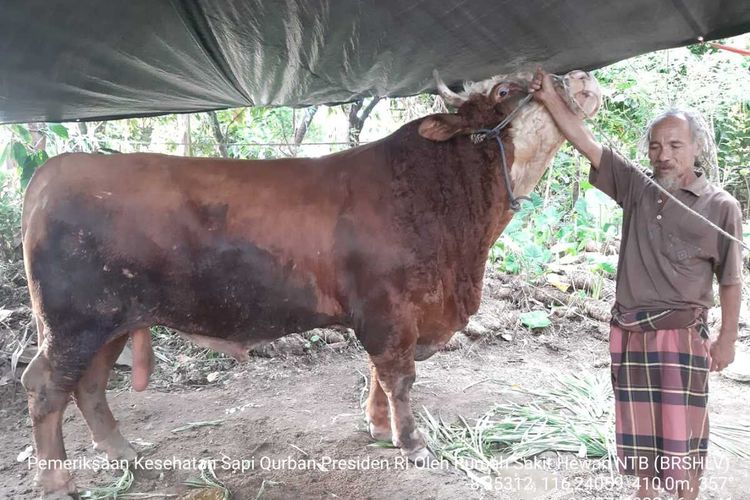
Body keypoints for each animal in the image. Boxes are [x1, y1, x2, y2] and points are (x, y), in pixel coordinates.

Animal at [19, 70, 604, 496]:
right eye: (506, 90)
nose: (576, 76)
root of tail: (49, 173)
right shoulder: (388, 310)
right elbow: (399, 376)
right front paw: (412, 443)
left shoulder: (395, 314)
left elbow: (378, 374)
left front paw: (378, 427)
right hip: (75, 322)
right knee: (46, 388)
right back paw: (58, 481)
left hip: (112, 321)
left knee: (89, 386)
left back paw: (125, 455)